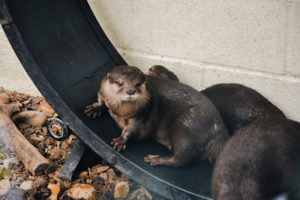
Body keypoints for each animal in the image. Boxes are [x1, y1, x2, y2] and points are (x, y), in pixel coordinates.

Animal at [85, 65, 229, 166]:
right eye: (120, 83)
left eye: (138, 83)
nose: (131, 91)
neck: (120, 111)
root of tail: (219, 133)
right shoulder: (103, 91)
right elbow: (100, 98)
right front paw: (95, 108)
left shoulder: (141, 115)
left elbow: (132, 130)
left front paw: (120, 141)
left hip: (186, 126)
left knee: (181, 158)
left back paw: (157, 159)